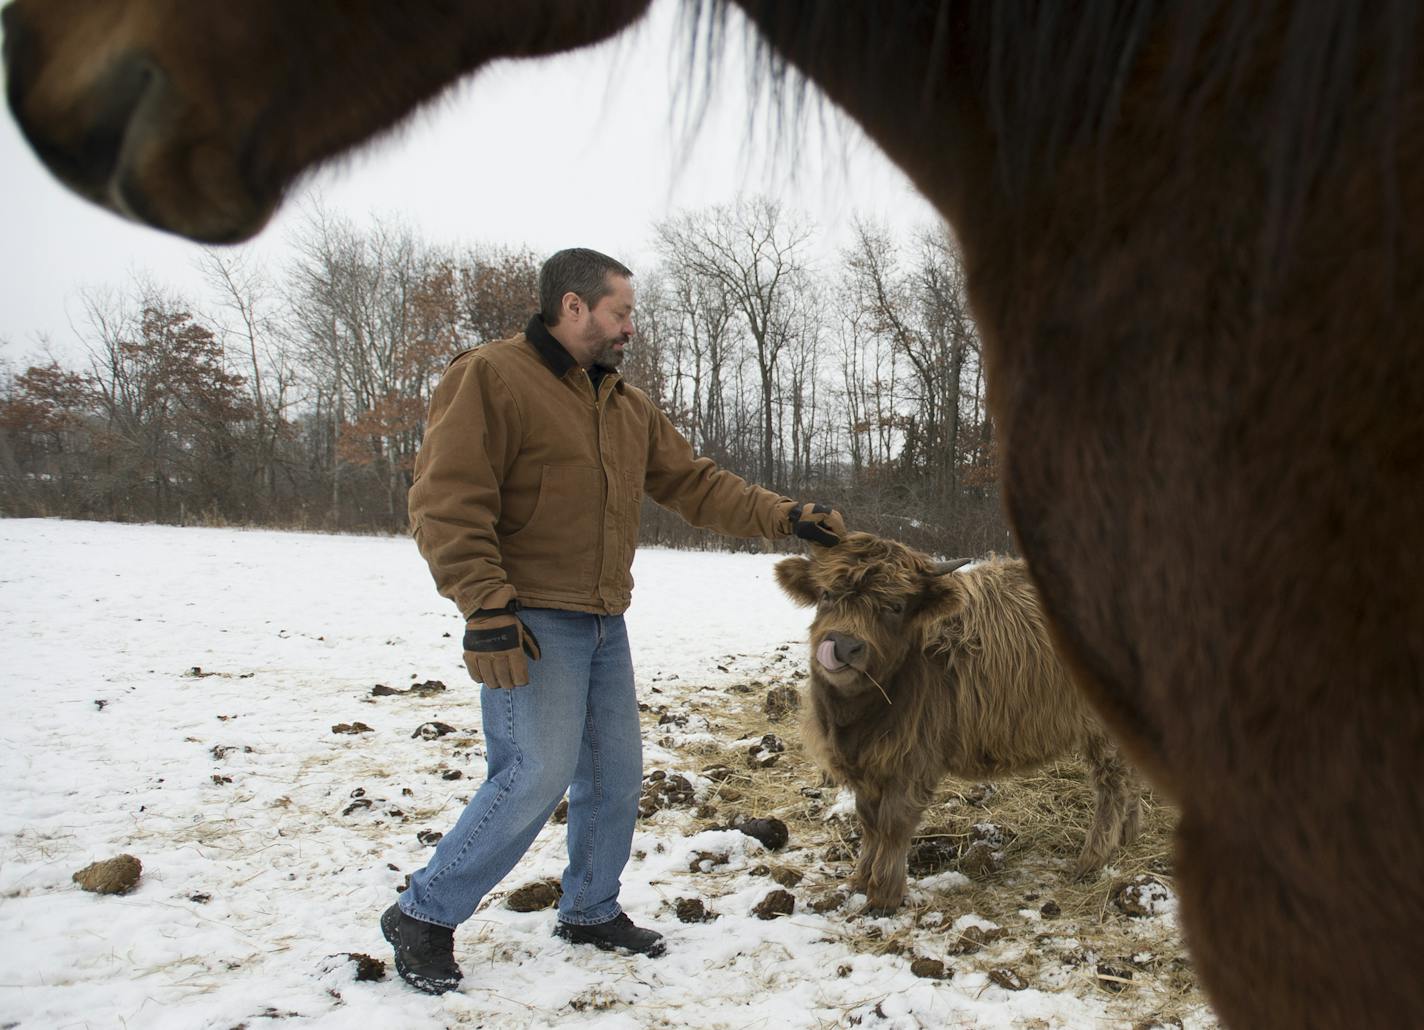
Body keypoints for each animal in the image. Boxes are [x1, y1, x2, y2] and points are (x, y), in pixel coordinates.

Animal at [774, 535, 1139, 911]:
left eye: (895, 606)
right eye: (827, 594)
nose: (844, 646)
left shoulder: (913, 759)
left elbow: (893, 824)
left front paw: (885, 894)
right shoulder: (871, 762)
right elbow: (869, 821)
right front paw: (861, 879)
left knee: (1114, 785)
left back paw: (1092, 858)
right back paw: (1127, 838)